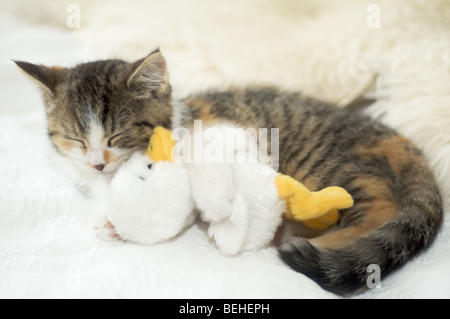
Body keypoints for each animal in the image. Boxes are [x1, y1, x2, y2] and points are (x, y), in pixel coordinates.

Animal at [15, 48, 444, 296]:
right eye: (74, 139)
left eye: (117, 135)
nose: (97, 162)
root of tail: (392, 136)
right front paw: (106, 215)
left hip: (328, 162)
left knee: (377, 207)